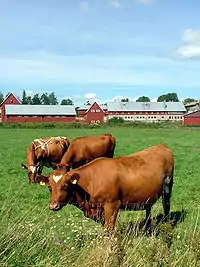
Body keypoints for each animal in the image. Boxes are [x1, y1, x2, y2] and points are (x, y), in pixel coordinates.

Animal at [35, 144, 173, 230]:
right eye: (49, 188)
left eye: (65, 185)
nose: (53, 206)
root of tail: (161, 146)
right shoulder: (97, 211)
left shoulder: (112, 205)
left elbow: (109, 229)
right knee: (148, 208)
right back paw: (147, 226)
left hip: (168, 186)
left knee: (166, 206)